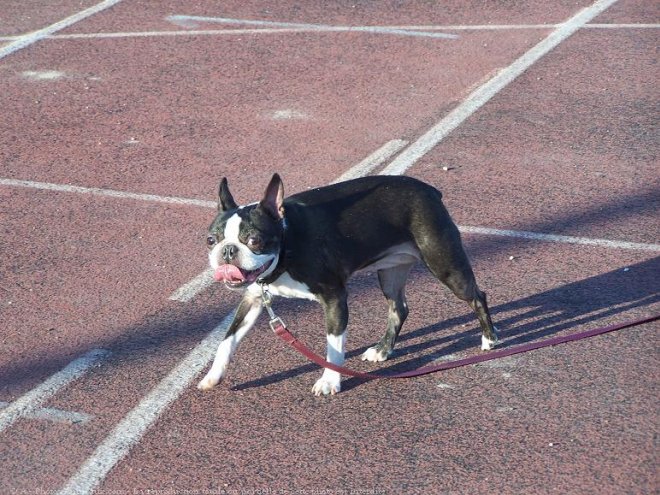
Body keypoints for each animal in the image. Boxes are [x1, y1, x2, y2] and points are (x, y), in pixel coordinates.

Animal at [199, 174, 498, 396]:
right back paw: (382, 349)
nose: (227, 251)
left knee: (477, 295)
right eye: (211, 240)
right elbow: (227, 340)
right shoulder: (253, 299)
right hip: (390, 273)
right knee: (399, 308)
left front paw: (330, 381)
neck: (287, 244)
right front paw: (214, 375)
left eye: (254, 240)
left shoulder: (334, 297)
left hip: (445, 266)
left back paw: (489, 338)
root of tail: (430, 191)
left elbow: (333, 346)